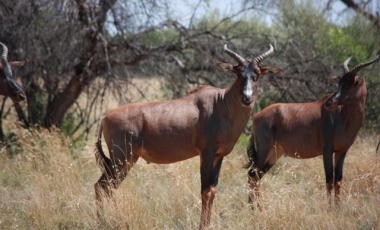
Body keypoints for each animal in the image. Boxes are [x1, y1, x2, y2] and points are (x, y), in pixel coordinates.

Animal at [95, 43, 282, 228]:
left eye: (256, 75)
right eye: (238, 73)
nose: (247, 98)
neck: (220, 103)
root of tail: (105, 117)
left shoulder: (218, 156)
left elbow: (213, 190)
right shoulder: (206, 153)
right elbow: (205, 191)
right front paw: (202, 226)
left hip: (124, 160)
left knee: (104, 186)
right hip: (122, 159)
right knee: (104, 187)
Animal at [245, 54, 378, 208]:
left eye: (350, 83)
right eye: (339, 83)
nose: (329, 103)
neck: (340, 115)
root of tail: (256, 116)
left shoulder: (342, 151)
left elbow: (338, 180)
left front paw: (338, 207)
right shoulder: (327, 150)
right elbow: (329, 180)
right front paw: (330, 208)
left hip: (275, 153)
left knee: (257, 175)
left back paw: (257, 207)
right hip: (264, 149)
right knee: (253, 174)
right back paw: (256, 208)